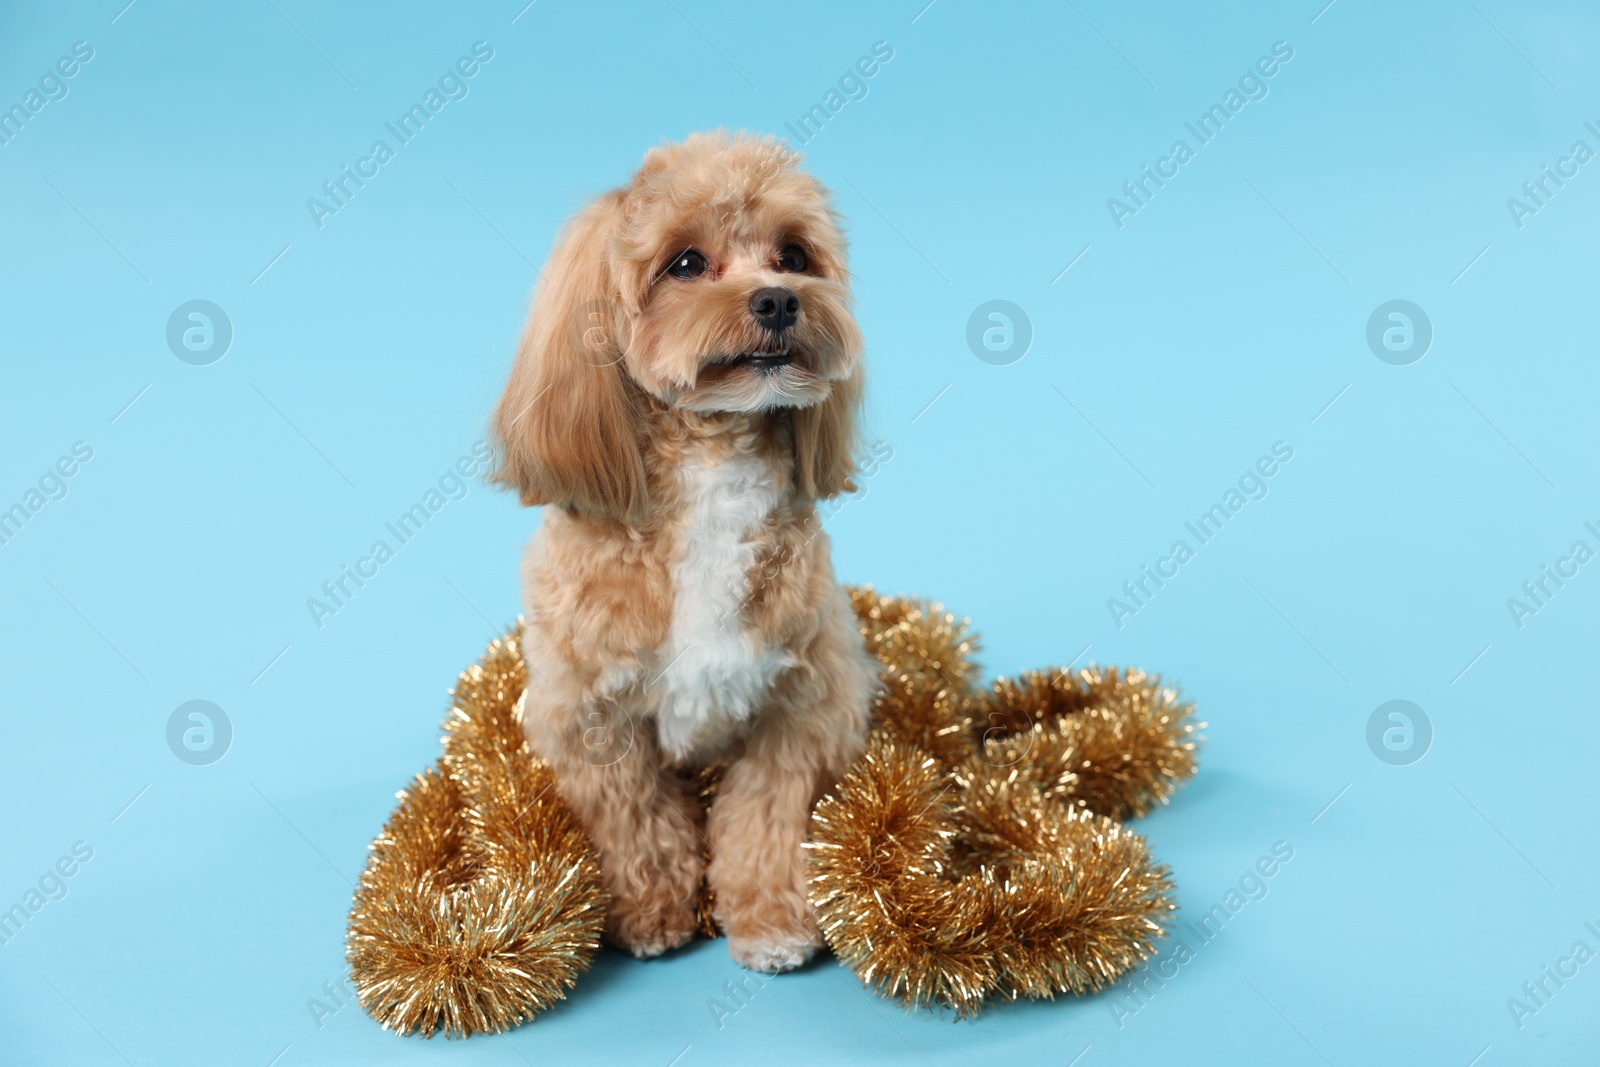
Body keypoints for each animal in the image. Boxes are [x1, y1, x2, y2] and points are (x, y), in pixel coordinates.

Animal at [492, 129, 883, 972]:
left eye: (794, 255)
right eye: (684, 263)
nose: (778, 299)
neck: (713, 465)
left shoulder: (804, 699)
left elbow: (764, 816)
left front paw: (771, 920)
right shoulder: (591, 714)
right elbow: (635, 816)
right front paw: (650, 911)